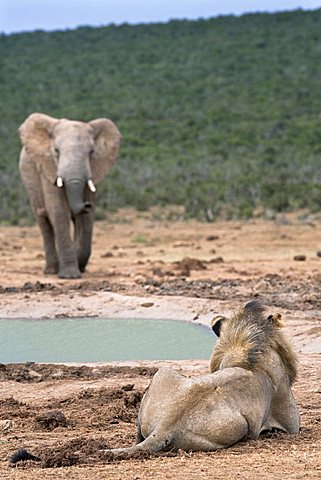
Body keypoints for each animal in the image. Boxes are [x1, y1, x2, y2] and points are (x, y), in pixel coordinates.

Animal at [19, 112, 121, 278]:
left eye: (91, 152)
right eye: (56, 150)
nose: (86, 205)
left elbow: (86, 219)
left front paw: (79, 267)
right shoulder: (48, 168)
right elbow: (59, 211)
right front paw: (70, 276)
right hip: (29, 178)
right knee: (44, 221)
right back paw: (51, 270)